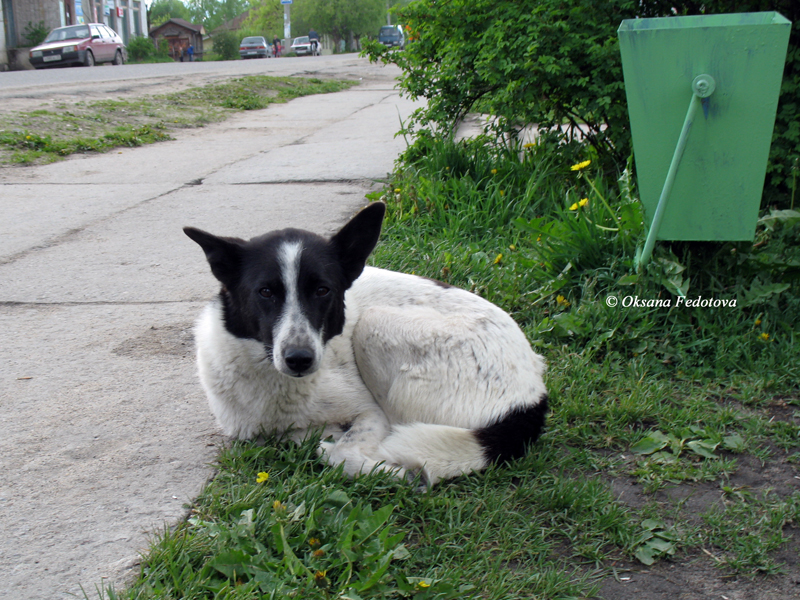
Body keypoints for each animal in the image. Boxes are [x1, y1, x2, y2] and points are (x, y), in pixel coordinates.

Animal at [186, 204, 552, 486]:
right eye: (265, 292)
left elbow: (342, 453)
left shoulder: (371, 412)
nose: (299, 359)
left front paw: (387, 469)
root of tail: (532, 399)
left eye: (323, 290)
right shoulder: (253, 431)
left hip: (374, 327)